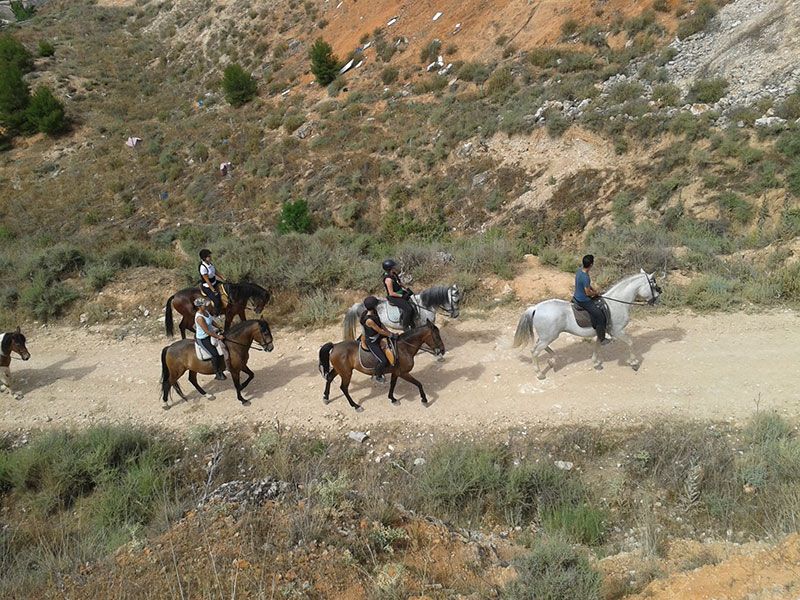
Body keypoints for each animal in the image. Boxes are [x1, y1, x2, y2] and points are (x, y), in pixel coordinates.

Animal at [512, 272, 664, 380]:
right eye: (653, 285)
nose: (657, 298)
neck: (616, 304)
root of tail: (536, 307)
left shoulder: (601, 331)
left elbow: (597, 345)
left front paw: (596, 363)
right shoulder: (617, 331)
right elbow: (630, 342)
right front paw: (634, 363)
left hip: (546, 336)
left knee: (539, 348)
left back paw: (553, 360)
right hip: (549, 336)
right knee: (535, 351)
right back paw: (540, 374)